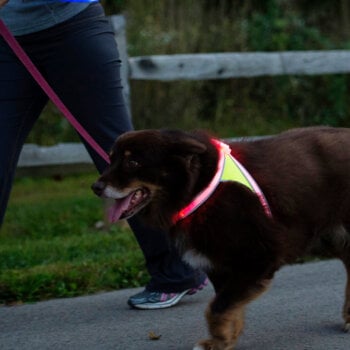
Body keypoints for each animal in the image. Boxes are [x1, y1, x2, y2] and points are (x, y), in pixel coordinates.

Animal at [92, 126, 350, 350]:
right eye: (111, 159)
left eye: (133, 162)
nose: (96, 187)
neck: (200, 188)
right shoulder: (218, 266)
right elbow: (224, 307)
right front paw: (226, 339)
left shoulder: (258, 259)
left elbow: (217, 308)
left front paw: (219, 340)